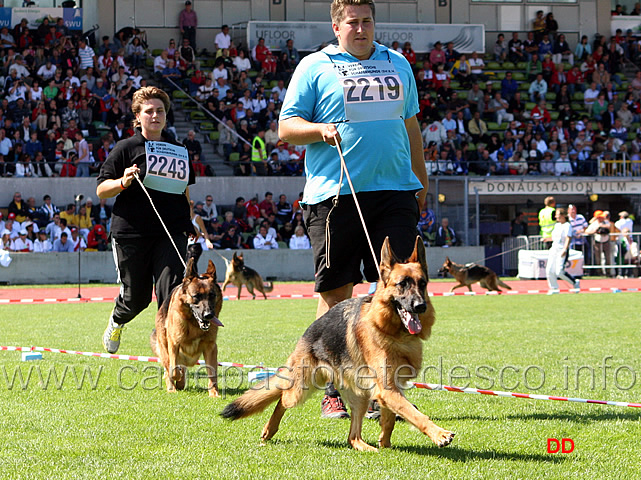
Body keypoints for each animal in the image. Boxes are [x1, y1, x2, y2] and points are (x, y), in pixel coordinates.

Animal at [149, 258, 224, 398]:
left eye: (212, 295)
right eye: (196, 296)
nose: (208, 315)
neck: (194, 324)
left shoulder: (211, 347)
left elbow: (212, 373)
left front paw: (214, 393)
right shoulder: (174, 345)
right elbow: (173, 370)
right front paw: (177, 378)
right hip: (165, 347)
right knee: (169, 369)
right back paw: (172, 387)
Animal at [220, 238, 456, 452]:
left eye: (422, 284)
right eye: (402, 284)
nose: (421, 306)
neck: (392, 332)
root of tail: (308, 332)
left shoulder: (390, 387)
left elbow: (390, 418)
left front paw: (385, 443)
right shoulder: (388, 388)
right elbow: (415, 414)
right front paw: (439, 434)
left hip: (360, 397)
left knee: (352, 437)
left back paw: (366, 447)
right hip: (301, 389)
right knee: (282, 399)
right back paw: (269, 430)